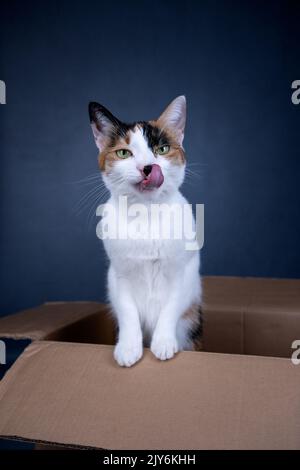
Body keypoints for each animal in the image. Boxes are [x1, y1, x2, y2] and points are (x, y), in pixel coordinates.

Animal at [89, 96, 202, 368]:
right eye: (123, 153)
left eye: (161, 149)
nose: (147, 167)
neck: (146, 213)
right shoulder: (118, 275)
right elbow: (128, 312)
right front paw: (128, 348)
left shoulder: (183, 272)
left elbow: (170, 308)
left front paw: (163, 343)